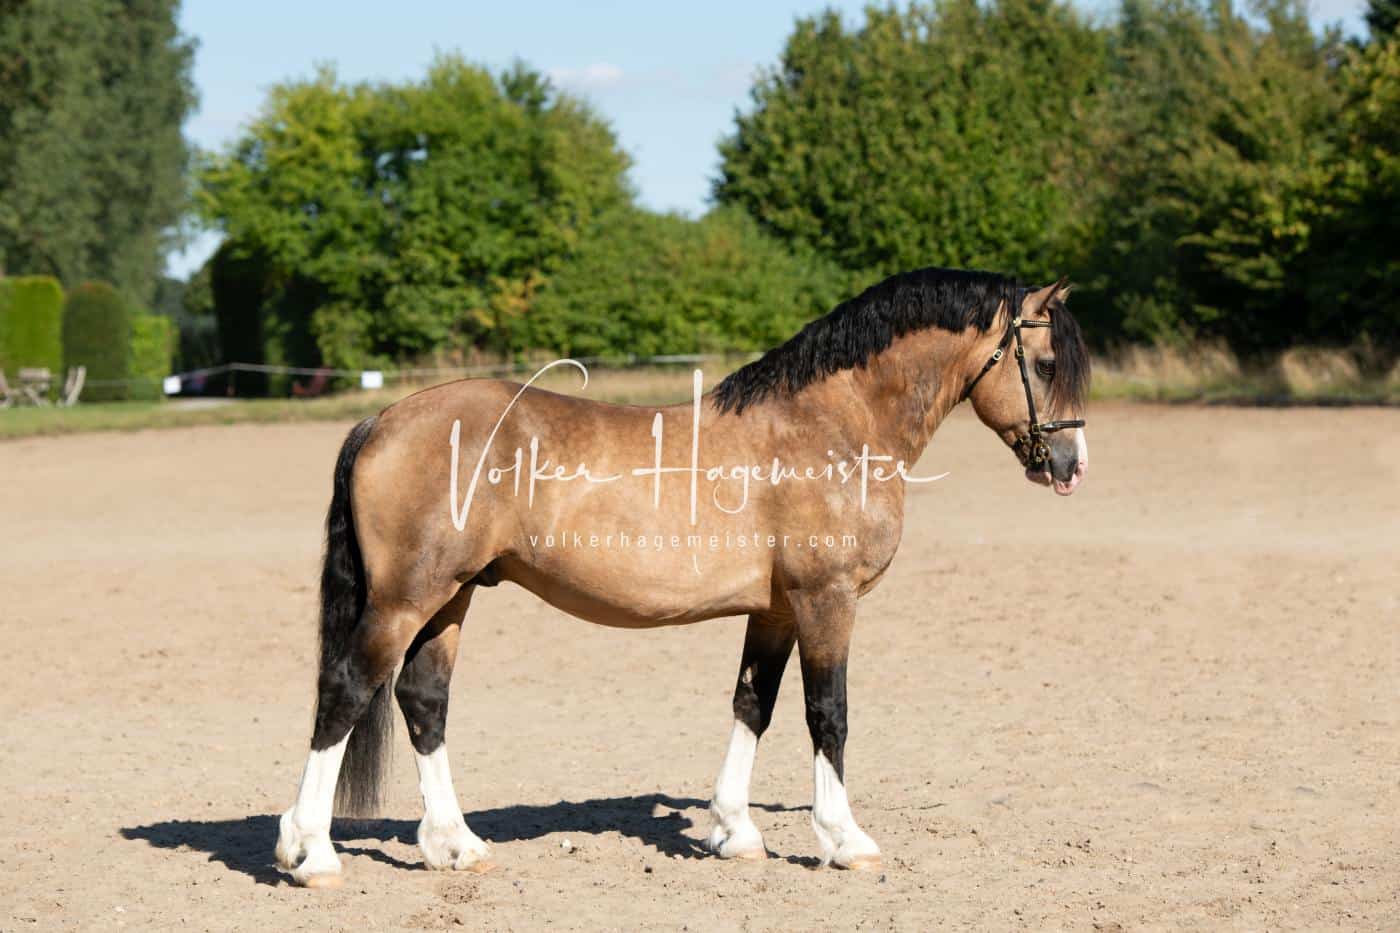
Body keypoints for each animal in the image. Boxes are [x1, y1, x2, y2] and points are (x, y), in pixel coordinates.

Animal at [273, 266, 1091, 886]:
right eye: (1047, 364)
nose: (1070, 467)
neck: (832, 424)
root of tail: (383, 420)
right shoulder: (825, 601)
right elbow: (828, 713)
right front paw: (843, 839)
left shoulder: (776, 610)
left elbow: (752, 705)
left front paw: (733, 832)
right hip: (405, 601)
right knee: (346, 691)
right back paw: (309, 852)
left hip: (450, 598)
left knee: (423, 701)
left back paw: (455, 845)